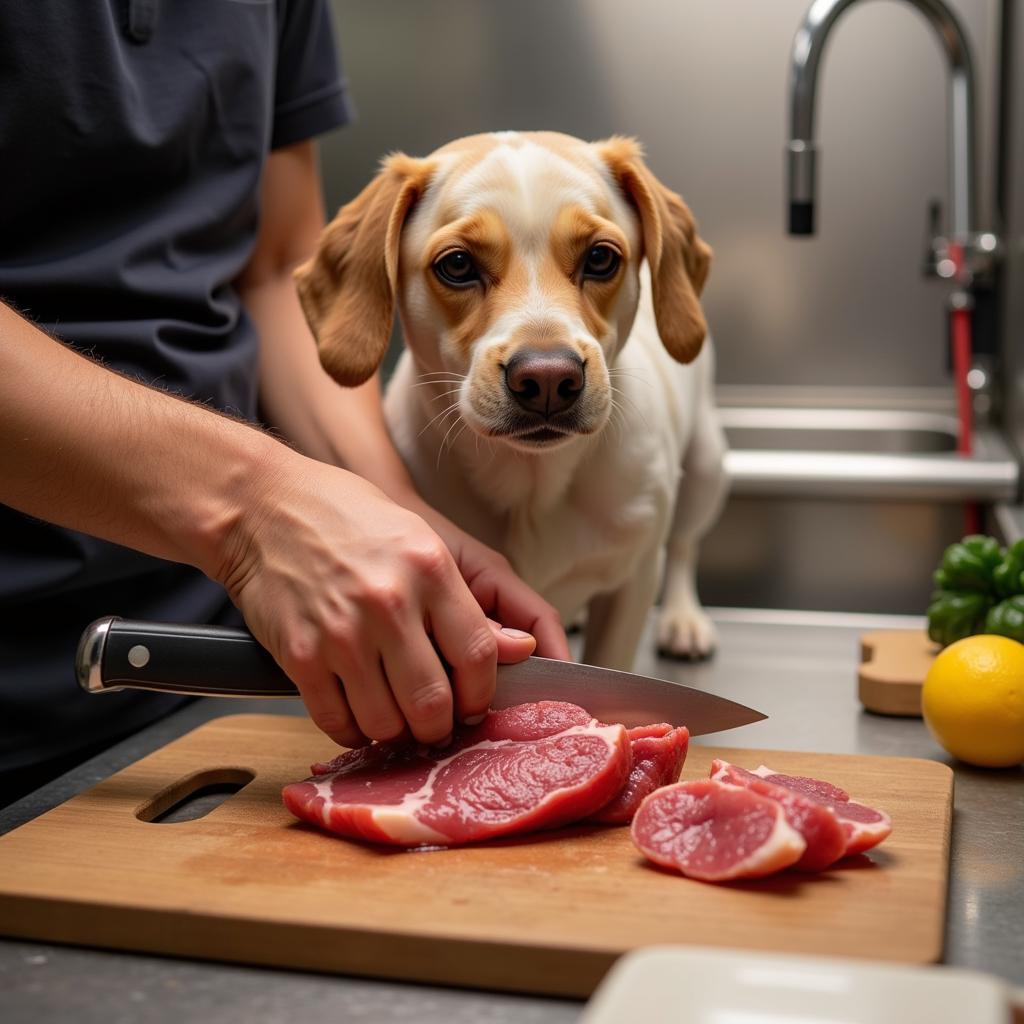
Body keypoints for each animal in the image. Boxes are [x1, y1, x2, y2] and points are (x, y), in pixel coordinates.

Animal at [296, 130, 729, 671]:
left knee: (685, 547)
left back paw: (682, 618)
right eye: (457, 264)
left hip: (707, 468)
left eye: (600, 258)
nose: (547, 378)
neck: (532, 487)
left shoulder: (632, 584)